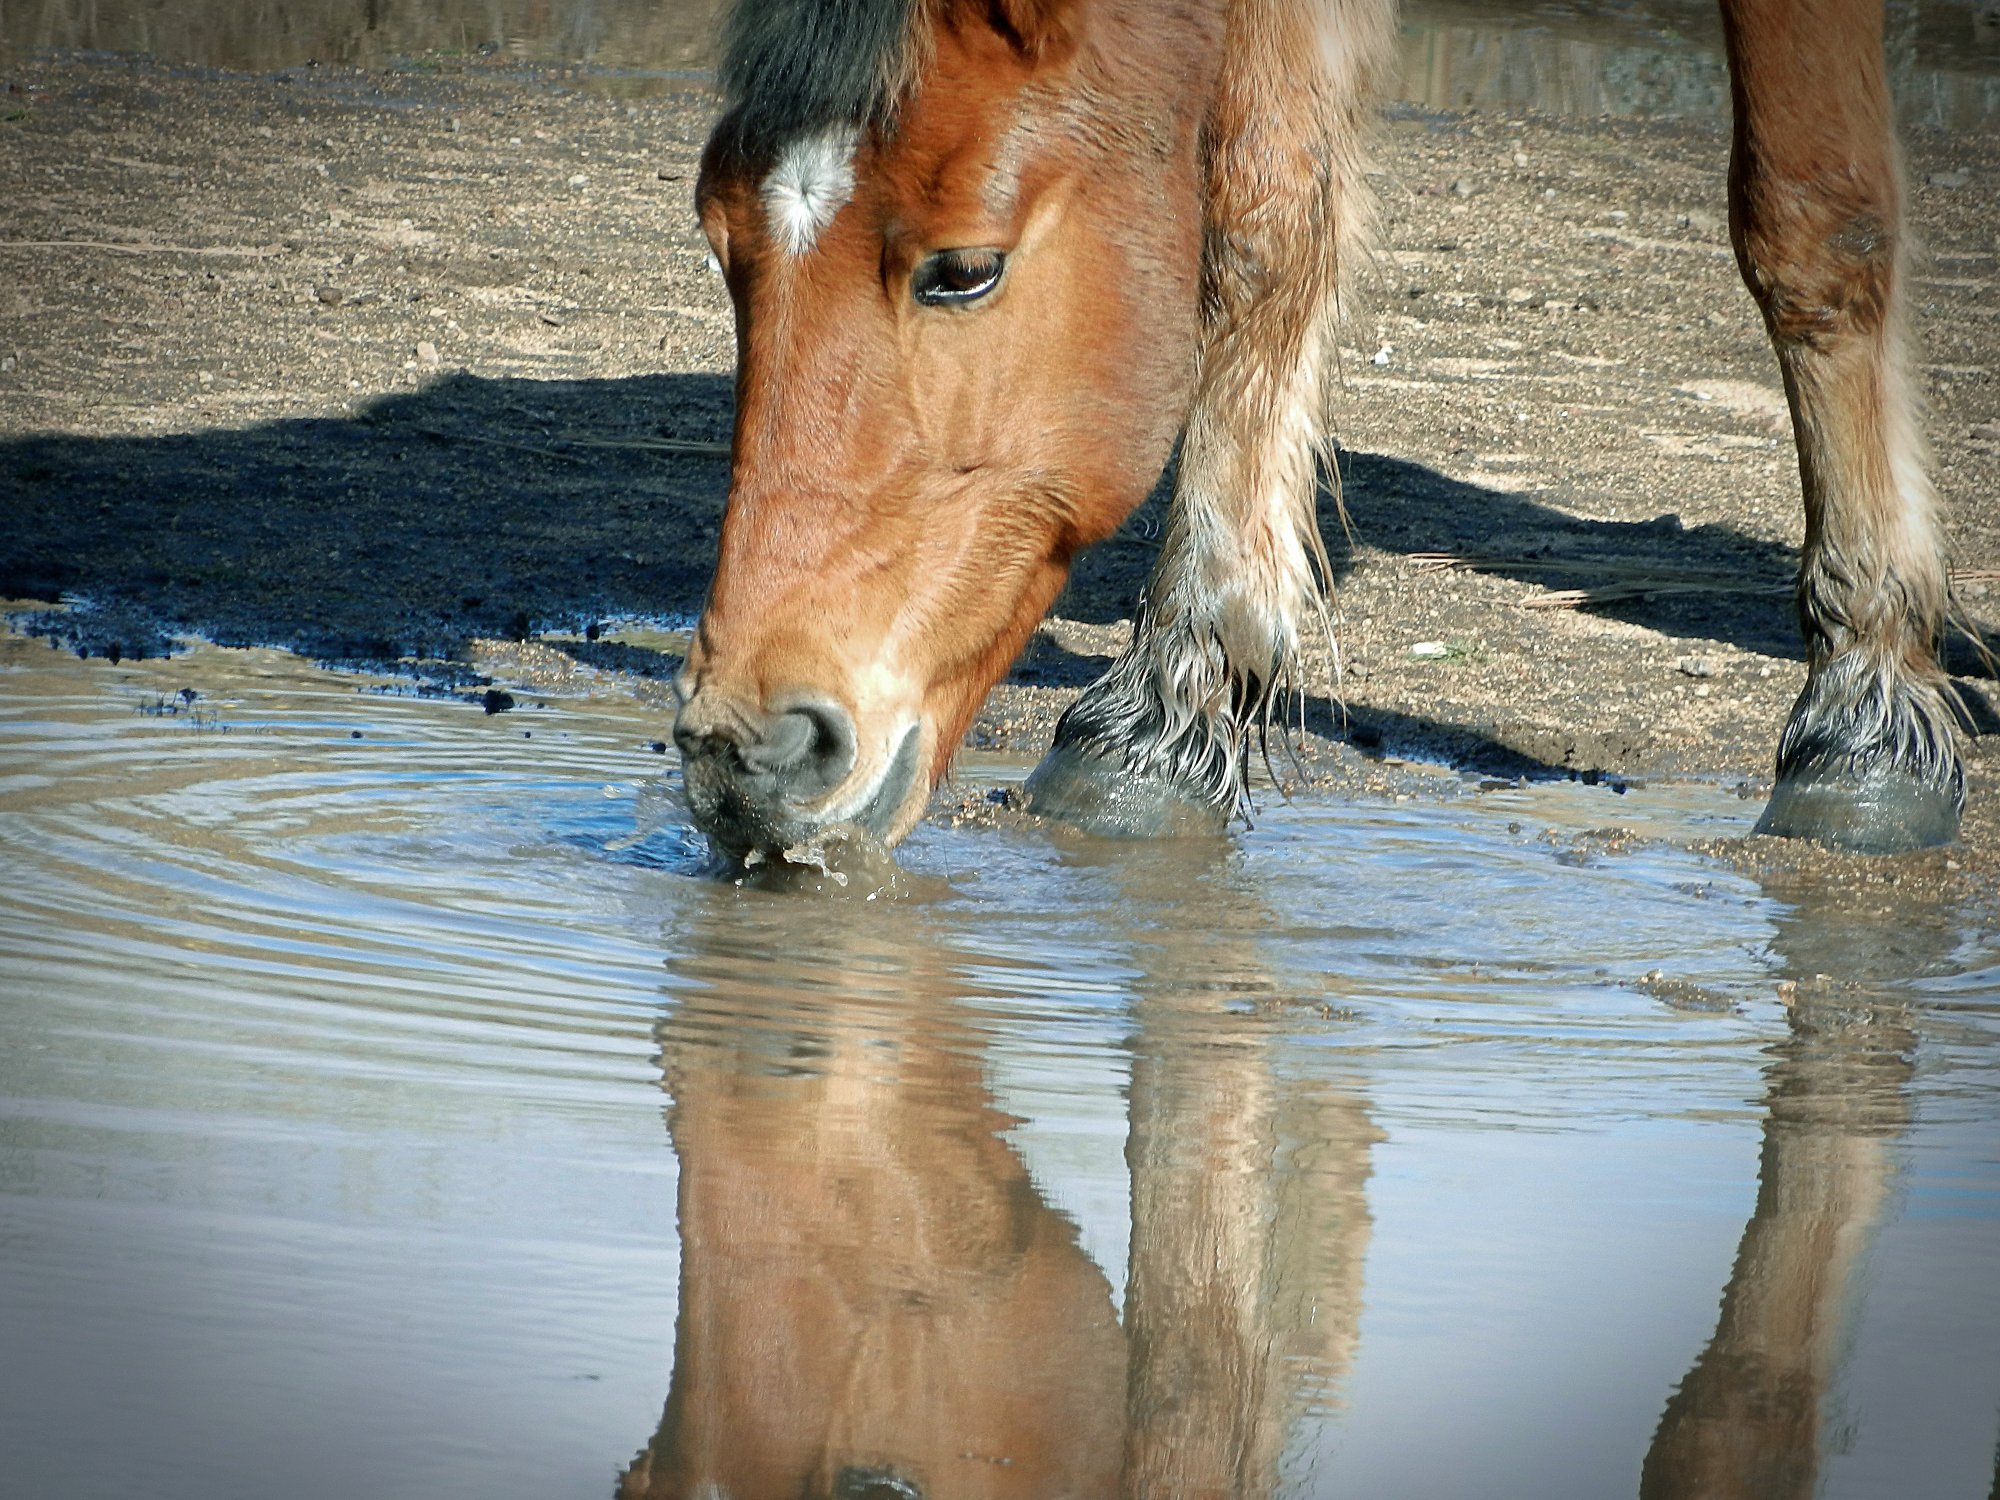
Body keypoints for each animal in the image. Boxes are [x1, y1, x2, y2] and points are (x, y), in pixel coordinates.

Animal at [668, 0, 1952, 864]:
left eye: (964, 269)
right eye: (721, 240)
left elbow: (1809, 213)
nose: (744, 756)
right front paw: (1169, 710)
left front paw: (1863, 721)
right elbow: (1264, 213)